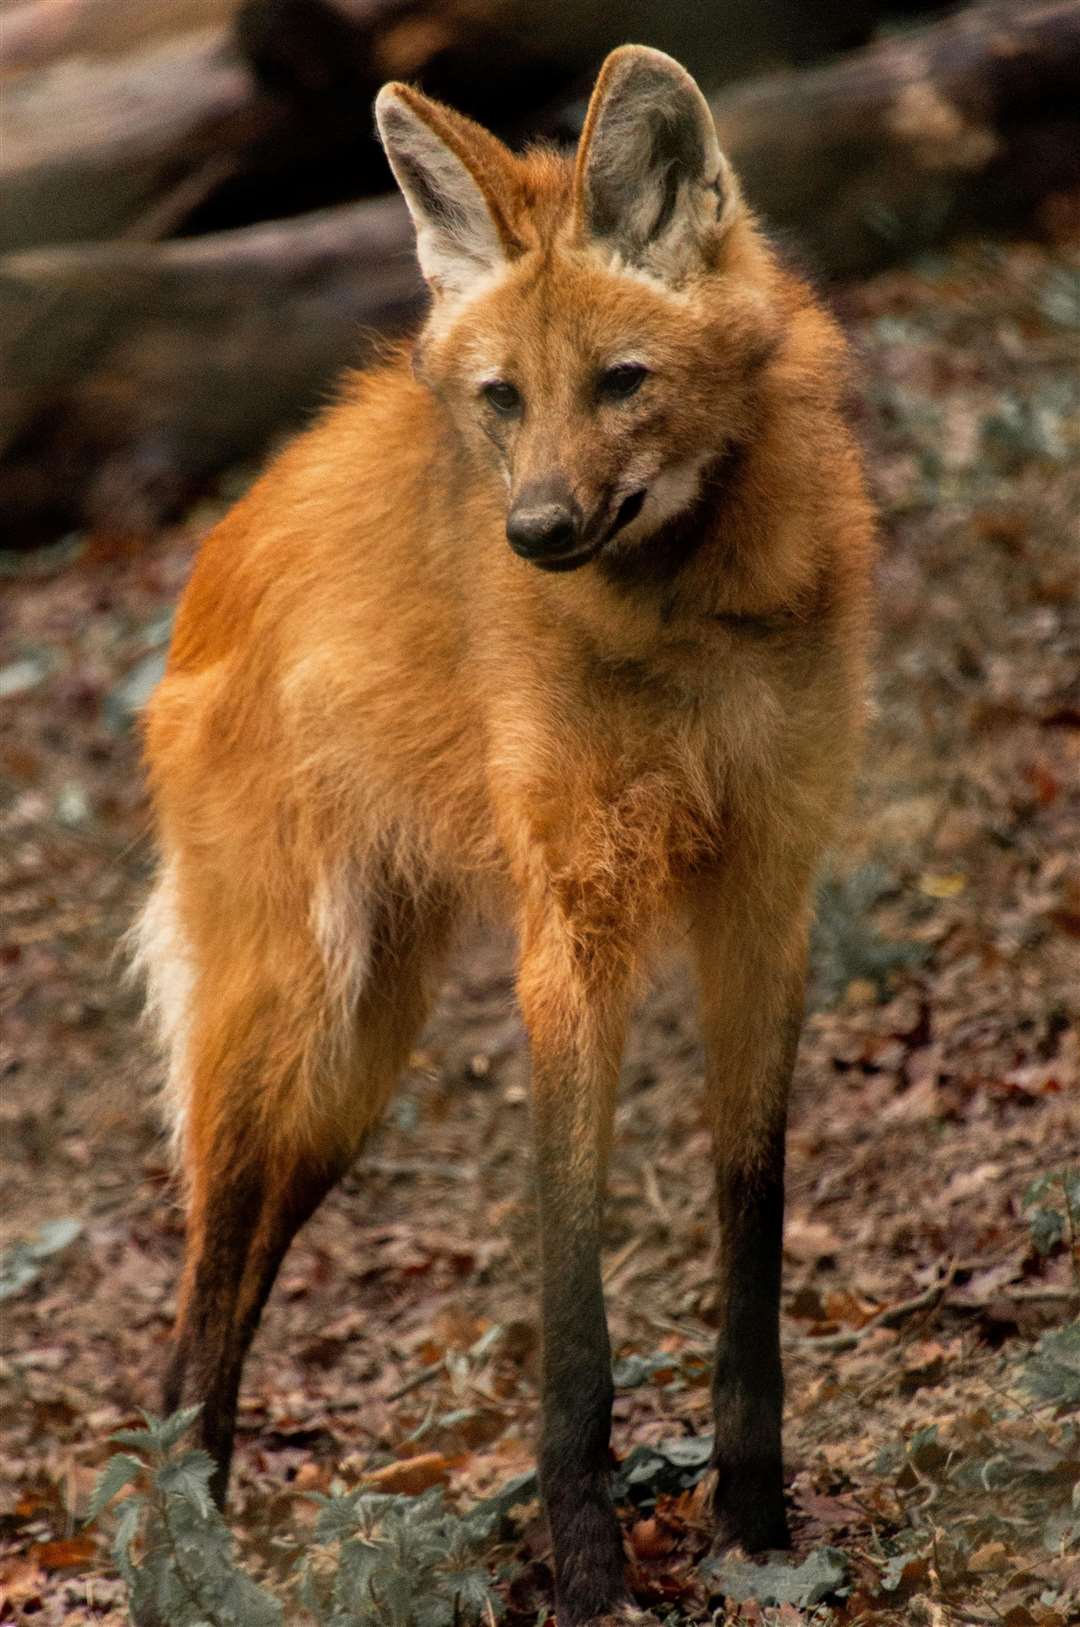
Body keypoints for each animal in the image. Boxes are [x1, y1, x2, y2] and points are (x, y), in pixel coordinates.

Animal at [137, 44, 878, 1620]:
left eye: (621, 384)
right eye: (502, 397)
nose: (533, 531)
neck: (691, 616)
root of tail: (214, 556)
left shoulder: (766, 893)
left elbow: (753, 1229)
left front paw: (758, 1528)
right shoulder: (575, 938)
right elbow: (574, 1301)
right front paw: (593, 1574)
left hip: (352, 1071)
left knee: (228, 1287)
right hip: (297, 1020)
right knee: (190, 1312)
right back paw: (179, 1564)